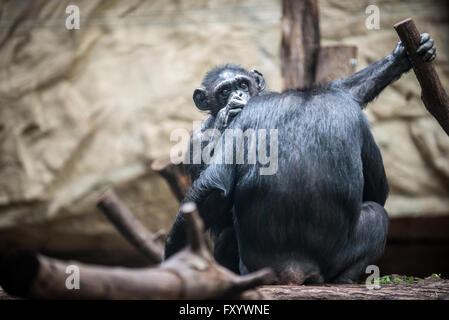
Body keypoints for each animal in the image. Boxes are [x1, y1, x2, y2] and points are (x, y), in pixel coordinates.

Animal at [166, 34, 436, 284]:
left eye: (242, 83)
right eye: (224, 91)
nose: (238, 95)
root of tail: (294, 269)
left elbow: (345, 89)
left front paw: (401, 57)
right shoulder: (195, 140)